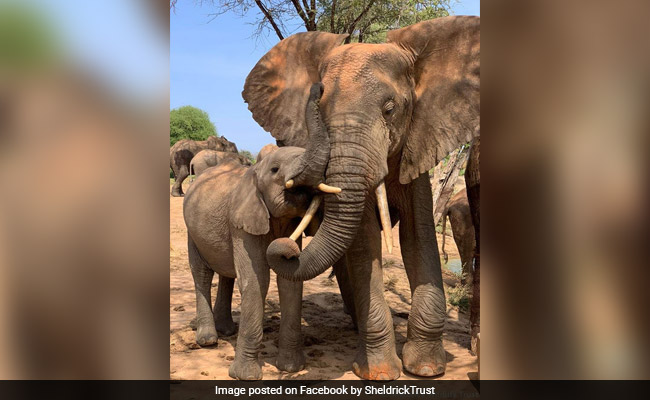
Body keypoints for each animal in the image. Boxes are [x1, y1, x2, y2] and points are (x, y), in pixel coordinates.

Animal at [242, 16, 480, 379]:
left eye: (390, 109)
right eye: (320, 109)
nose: (316, 89)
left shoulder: (416, 144)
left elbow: (417, 236)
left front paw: (426, 369)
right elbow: (365, 242)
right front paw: (378, 372)